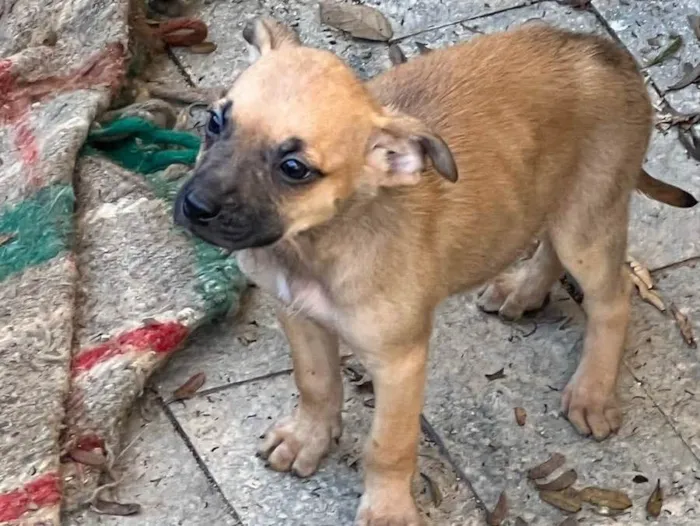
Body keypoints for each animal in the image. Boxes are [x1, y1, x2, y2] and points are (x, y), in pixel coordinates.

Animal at [172, 18, 696, 524]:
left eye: (294, 168)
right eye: (216, 121)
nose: (195, 207)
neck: (318, 243)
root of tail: (606, 52)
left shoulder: (399, 361)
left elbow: (388, 446)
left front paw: (386, 511)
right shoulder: (298, 313)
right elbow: (315, 383)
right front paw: (309, 438)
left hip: (588, 218)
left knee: (614, 298)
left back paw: (592, 392)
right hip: (555, 199)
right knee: (549, 241)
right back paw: (525, 290)